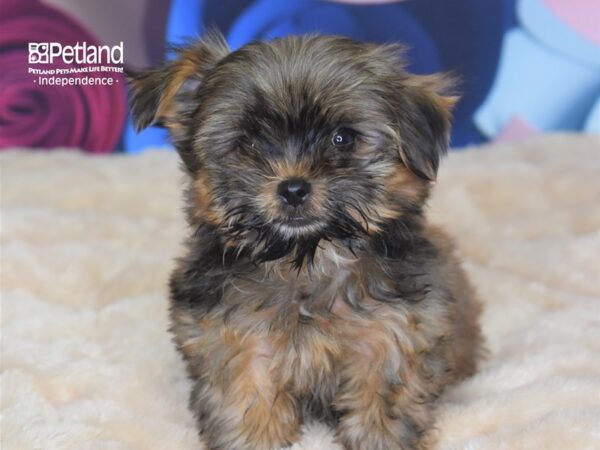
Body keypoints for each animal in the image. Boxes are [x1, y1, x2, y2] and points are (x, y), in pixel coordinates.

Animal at [127, 32, 482, 450]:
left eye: (341, 139)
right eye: (249, 143)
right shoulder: (239, 342)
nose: (293, 187)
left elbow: (381, 406)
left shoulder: (391, 336)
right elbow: (247, 406)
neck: (308, 260)